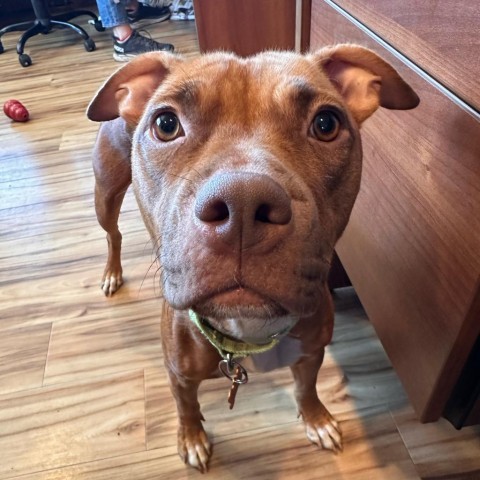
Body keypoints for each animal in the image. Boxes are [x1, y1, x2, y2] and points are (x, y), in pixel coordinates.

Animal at [88, 47, 418, 470]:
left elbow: (307, 388)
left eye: (326, 123)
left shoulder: (311, 353)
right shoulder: (178, 374)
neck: (247, 334)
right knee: (112, 234)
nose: (242, 203)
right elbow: (185, 407)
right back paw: (112, 272)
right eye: (165, 124)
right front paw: (191, 438)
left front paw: (317, 419)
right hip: (106, 193)